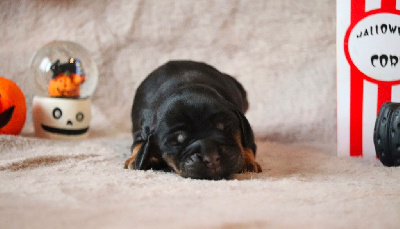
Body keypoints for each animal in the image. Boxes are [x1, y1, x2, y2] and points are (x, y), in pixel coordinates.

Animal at [125, 61, 262, 181]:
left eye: (224, 127)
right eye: (179, 139)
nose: (211, 157)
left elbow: (247, 143)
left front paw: (248, 162)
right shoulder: (141, 130)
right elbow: (138, 144)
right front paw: (134, 159)